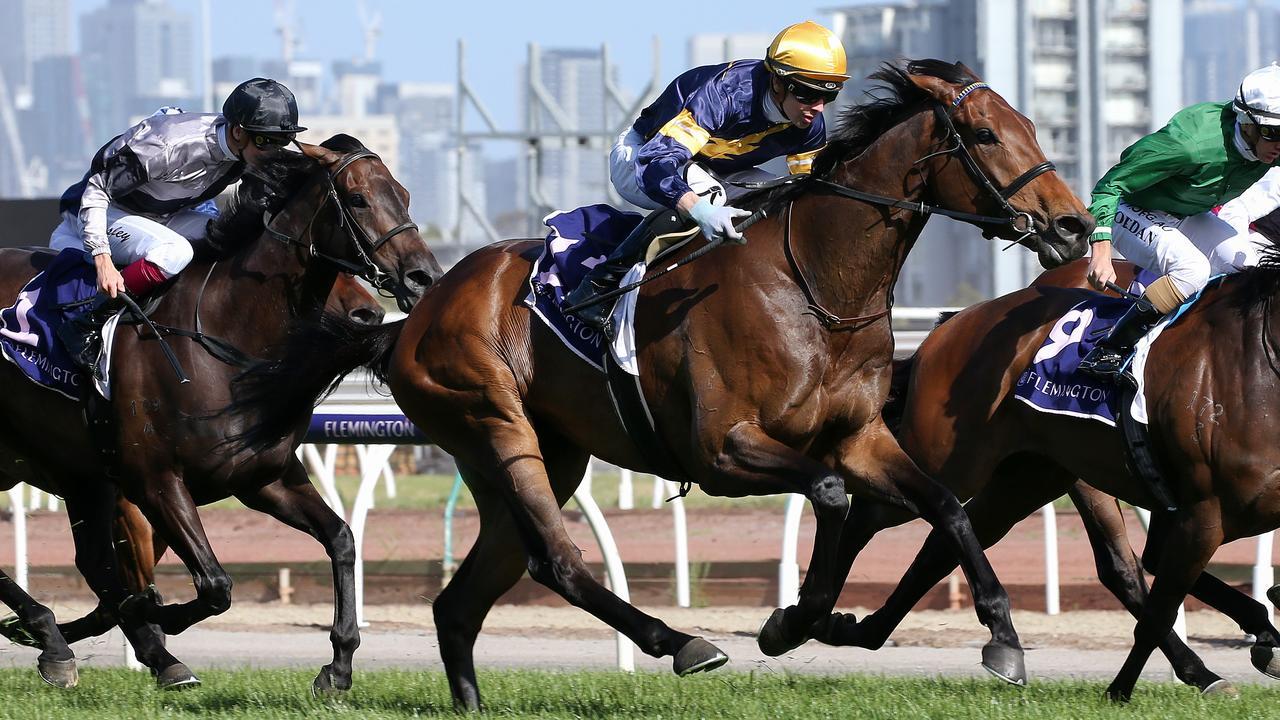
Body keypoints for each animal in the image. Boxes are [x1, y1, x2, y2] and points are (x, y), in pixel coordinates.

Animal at [0, 134, 440, 691]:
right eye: (358, 199)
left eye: (403, 195)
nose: (424, 277)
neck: (225, 332)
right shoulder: (155, 480)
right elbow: (213, 584)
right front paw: (151, 615)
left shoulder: (262, 478)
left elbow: (341, 539)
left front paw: (338, 666)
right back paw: (63, 635)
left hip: (72, 472)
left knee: (93, 562)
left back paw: (62, 639)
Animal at [227, 60, 1090, 707]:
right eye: (986, 134)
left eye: (1034, 125)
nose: (1074, 225)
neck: (816, 286)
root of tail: (416, 312)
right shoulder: (723, 450)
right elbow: (833, 498)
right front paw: (792, 620)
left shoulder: (861, 436)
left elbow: (945, 506)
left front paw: (1002, 638)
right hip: (493, 425)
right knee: (560, 561)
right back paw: (681, 642)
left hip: (546, 453)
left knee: (467, 596)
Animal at [803, 249, 1280, 696]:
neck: (1256, 358)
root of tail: (953, 325)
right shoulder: (1202, 511)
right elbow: (1158, 605)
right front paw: (1119, 692)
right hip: (953, 459)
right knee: (878, 515)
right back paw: (808, 618)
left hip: (1031, 476)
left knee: (948, 538)